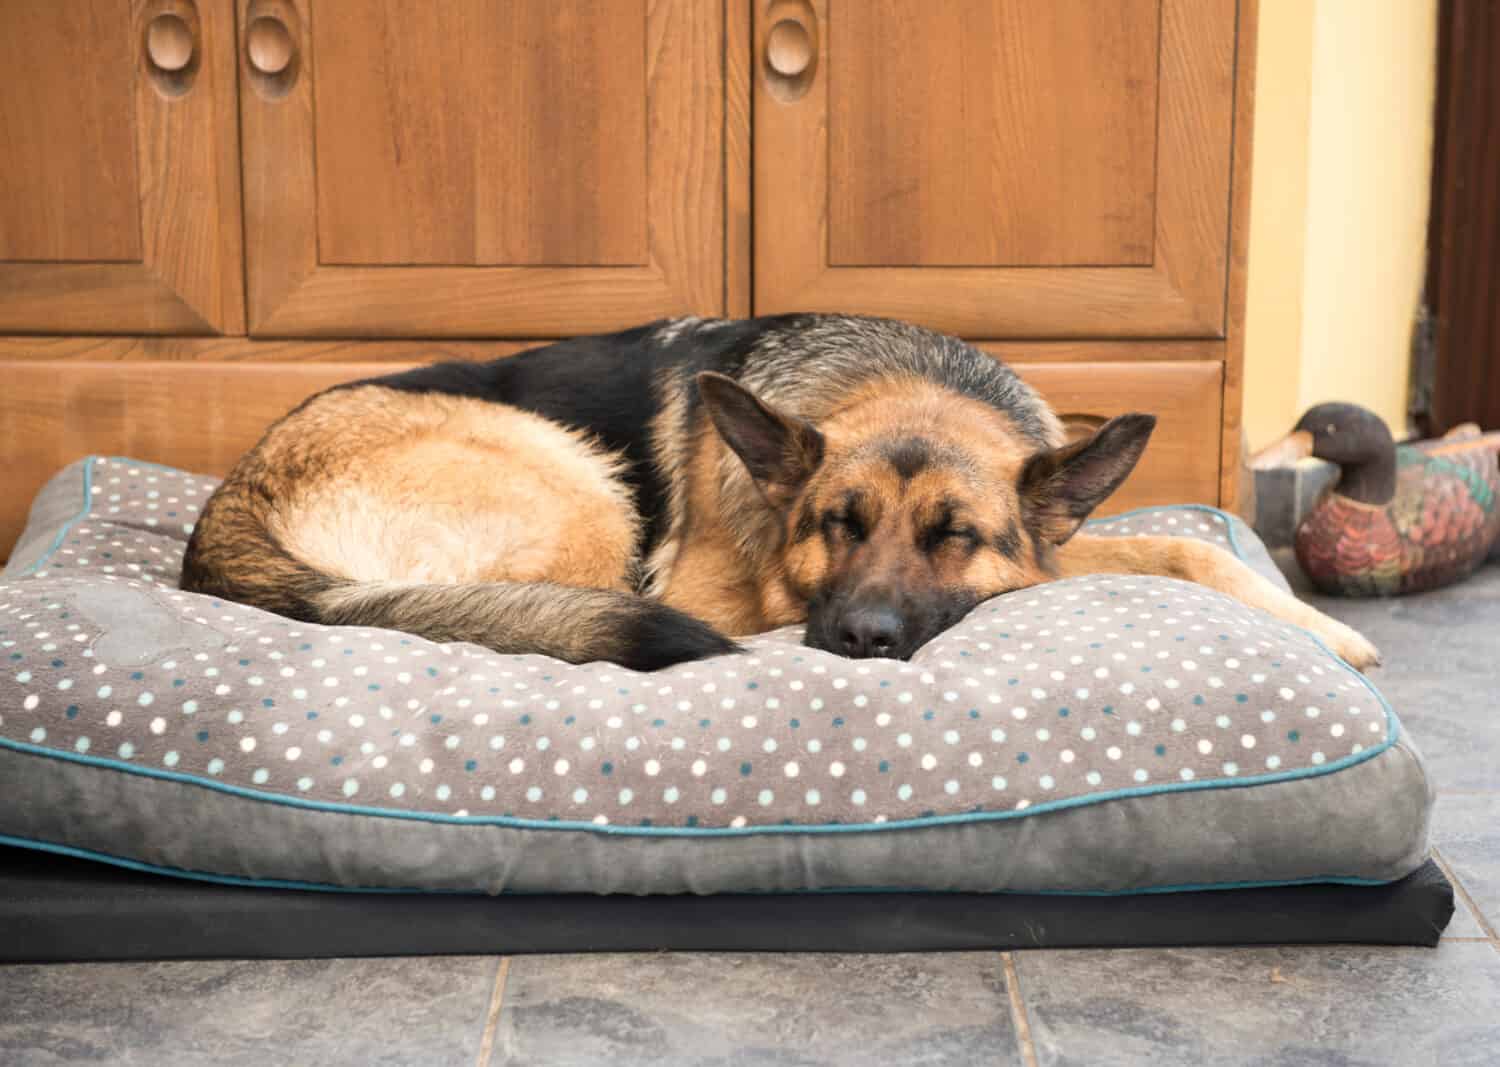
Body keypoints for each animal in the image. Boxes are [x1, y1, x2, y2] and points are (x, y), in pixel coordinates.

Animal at [178, 313, 1380, 672]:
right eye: (834, 525)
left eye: (955, 535)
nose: (861, 639)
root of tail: (229, 500)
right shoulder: (723, 595)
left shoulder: (1044, 548)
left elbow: (1193, 545)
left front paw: (1319, 629)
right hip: (581, 487)